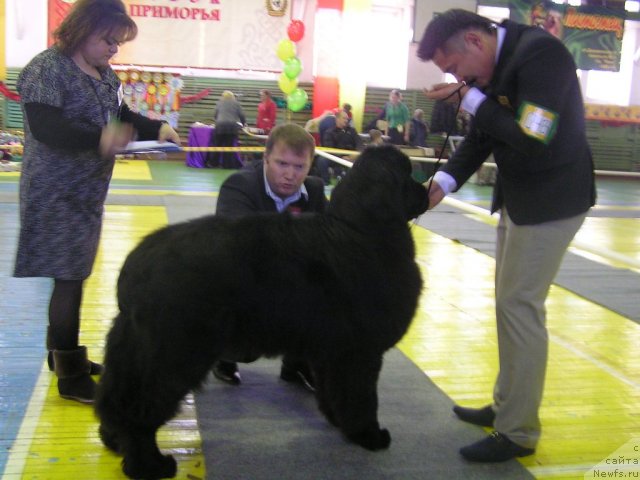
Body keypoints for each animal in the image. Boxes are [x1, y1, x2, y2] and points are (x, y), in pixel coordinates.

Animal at [96, 144, 430, 478]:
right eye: (407, 174)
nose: (427, 191)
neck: (362, 231)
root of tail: (135, 266)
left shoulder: (331, 353)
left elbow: (335, 393)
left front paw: (341, 423)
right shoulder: (359, 353)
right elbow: (362, 397)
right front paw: (368, 435)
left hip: (132, 348)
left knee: (114, 400)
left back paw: (114, 440)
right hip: (174, 354)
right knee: (140, 411)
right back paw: (149, 464)